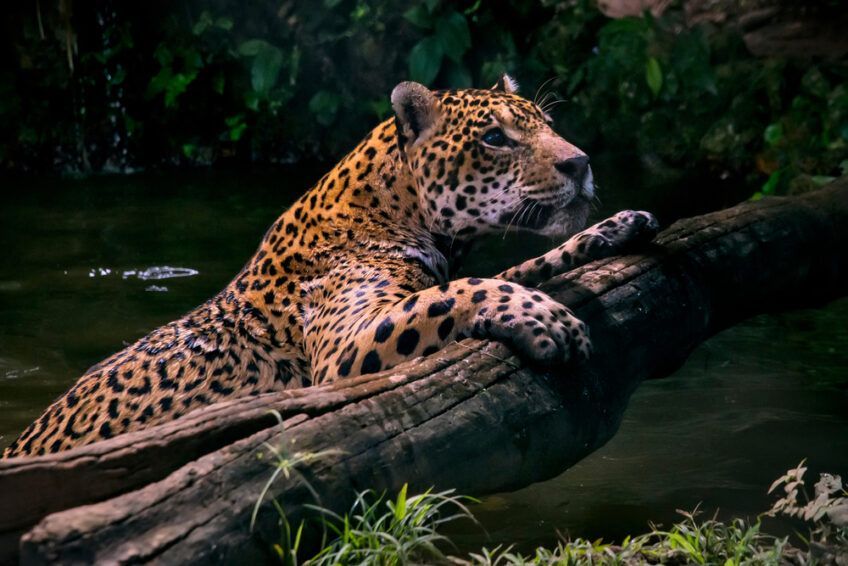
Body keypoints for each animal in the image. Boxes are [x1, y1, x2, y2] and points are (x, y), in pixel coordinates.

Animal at [2, 74, 658, 458]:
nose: (580, 163)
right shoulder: (347, 348)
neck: (399, 210)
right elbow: (462, 292)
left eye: (546, 124)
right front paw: (548, 321)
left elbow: (512, 267)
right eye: (495, 138)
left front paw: (621, 225)